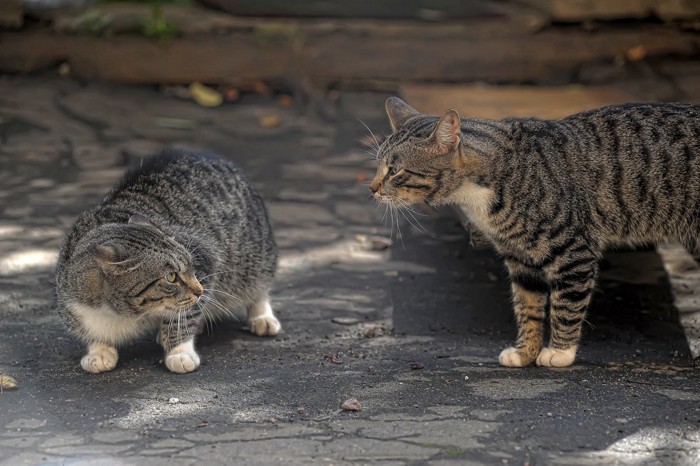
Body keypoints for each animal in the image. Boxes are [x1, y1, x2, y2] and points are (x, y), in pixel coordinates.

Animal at [55, 150, 278, 374]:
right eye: (171, 277)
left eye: (191, 267)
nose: (200, 291)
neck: (120, 314)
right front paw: (99, 351)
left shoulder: (205, 258)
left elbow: (182, 318)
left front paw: (179, 351)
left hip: (254, 259)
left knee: (259, 289)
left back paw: (262, 317)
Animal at [370, 97, 696, 368]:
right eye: (377, 167)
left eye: (395, 171)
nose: (371, 188)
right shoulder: (519, 257)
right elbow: (527, 307)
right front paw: (525, 351)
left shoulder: (574, 252)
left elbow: (566, 304)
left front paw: (560, 352)